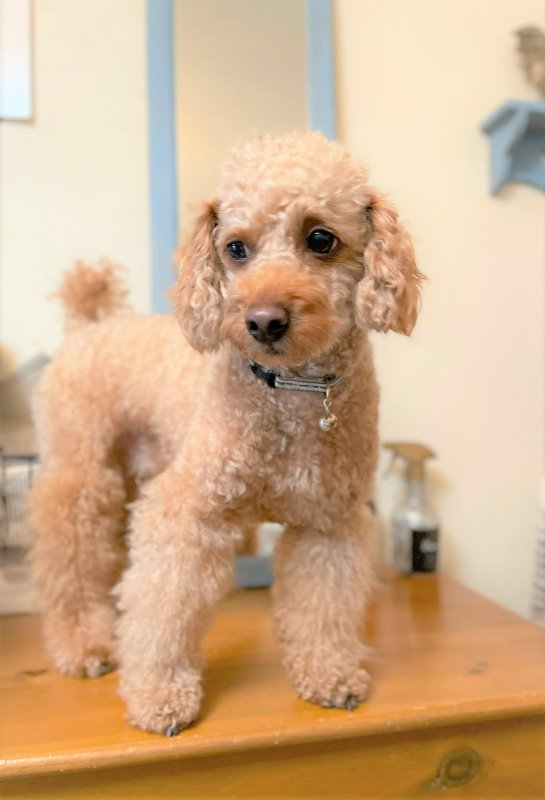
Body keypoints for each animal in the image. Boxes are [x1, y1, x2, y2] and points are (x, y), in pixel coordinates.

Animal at [29, 131, 423, 735]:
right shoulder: (186, 512)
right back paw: (84, 644)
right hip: (82, 472)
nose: (262, 320)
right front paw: (160, 695)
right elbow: (164, 608)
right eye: (235, 249)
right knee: (68, 555)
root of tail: (90, 325)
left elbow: (323, 604)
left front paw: (329, 674)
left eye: (321, 239)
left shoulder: (328, 524)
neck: (289, 392)